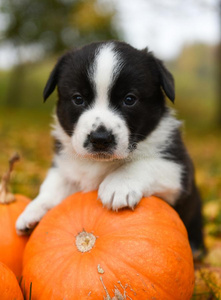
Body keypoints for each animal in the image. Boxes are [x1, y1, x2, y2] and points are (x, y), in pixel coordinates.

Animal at [16, 39, 205, 251]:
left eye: (129, 99)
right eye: (78, 99)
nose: (100, 138)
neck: (100, 164)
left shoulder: (178, 169)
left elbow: (145, 163)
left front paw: (119, 185)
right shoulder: (65, 165)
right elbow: (54, 184)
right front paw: (33, 210)